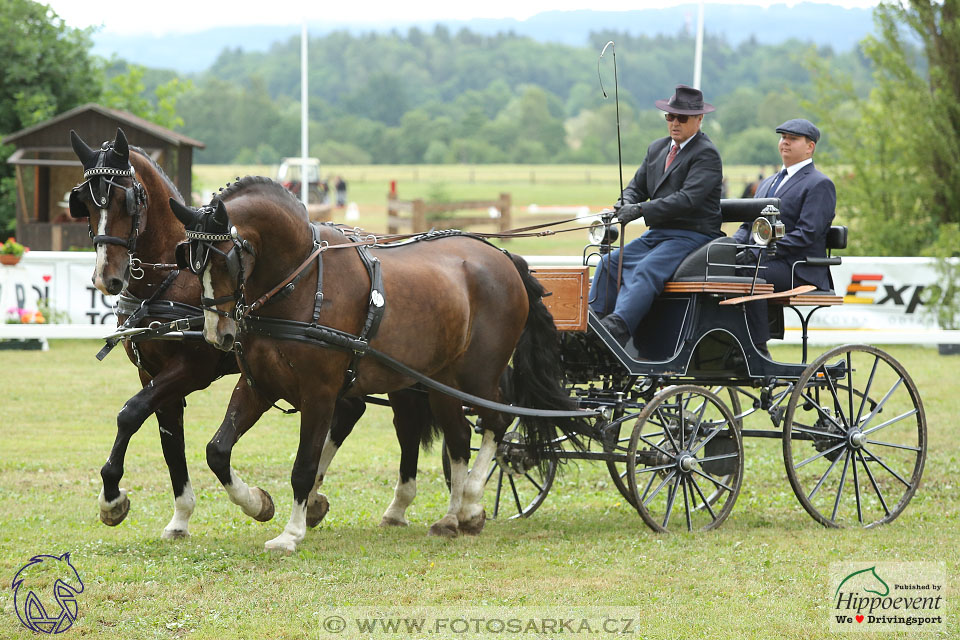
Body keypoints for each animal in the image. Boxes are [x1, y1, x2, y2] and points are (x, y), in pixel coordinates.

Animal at [68, 127, 416, 536]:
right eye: (85, 203)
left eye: (126, 199)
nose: (106, 278)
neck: (172, 279)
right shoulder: (150, 372)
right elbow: (168, 440)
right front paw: (179, 515)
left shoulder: (191, 370)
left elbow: (131, 413)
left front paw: (112, 498)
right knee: (351, 409)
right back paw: (315, 499)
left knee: (403, 420)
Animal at [169, 179, 572, 552]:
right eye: (189, 261)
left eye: (225, 259)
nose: (217, 333)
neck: (301, 281)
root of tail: (506, 258)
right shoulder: (259, 387)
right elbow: (218, 451)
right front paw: (257, 502)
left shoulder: (319, 394)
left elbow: (304, 467)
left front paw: (290, 534)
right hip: (441, 381)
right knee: (458, 438)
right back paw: (452, 516)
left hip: (478, 377)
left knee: (496, 423)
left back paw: (471, 503)